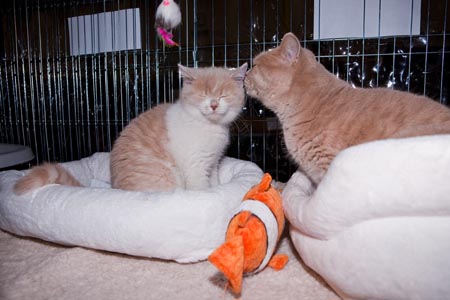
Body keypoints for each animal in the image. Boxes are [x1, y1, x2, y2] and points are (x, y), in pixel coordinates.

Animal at [14, 63, 248, 195]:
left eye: (223, 95)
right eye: (202, 95)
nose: (214, 104)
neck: (207, 127)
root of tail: (115, 189)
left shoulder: (213, 162)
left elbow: (214, 180)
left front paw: (217, 189)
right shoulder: (194, 165)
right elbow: (200, 187)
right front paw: (206, 195)